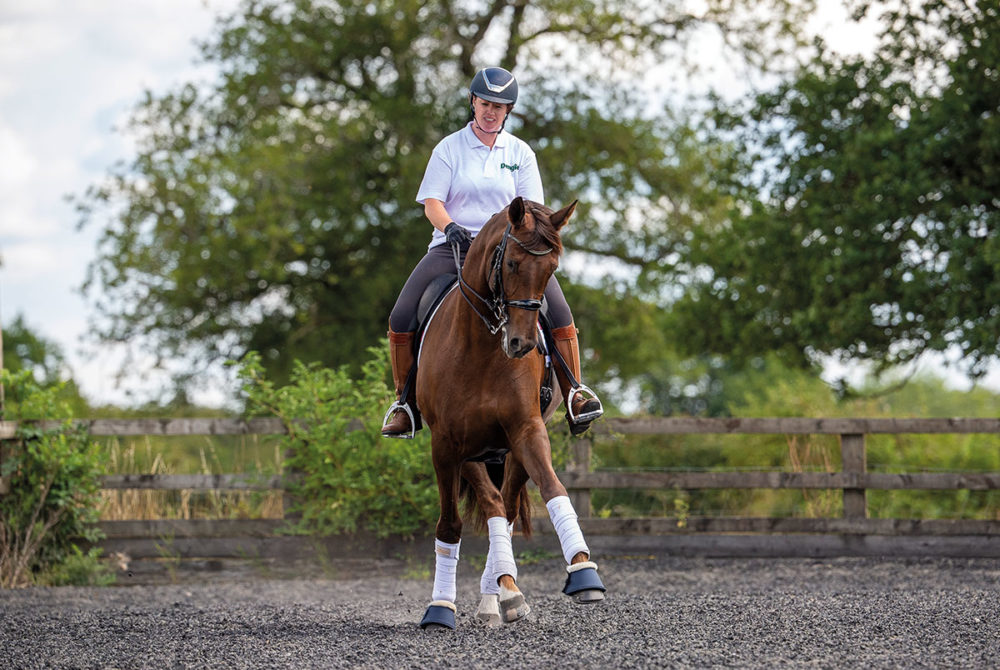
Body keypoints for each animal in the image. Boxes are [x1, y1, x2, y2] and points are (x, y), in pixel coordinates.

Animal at [412, 197, 600, 632]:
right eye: (512, 263)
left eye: (551, 269)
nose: (522, 344)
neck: (480, 347)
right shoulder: (446, 444)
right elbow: (450, 523)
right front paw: (440, 608)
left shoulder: (526, 430)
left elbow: (554, 489)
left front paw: (583, 572)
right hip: (471, 453)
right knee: (495, 506)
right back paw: (497, 593)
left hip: (508, 450)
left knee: (507, 510)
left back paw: (503, 594)